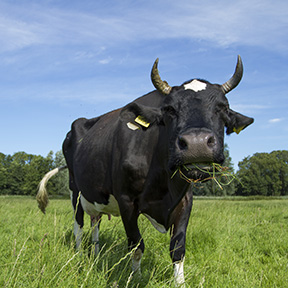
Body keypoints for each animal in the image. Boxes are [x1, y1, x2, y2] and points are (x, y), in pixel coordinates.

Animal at [37, 56, 253, 286]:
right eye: (169, 109)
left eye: (223, 108)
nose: (197, 144)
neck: (163, 182)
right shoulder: (126, 201)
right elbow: (136, 245)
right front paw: (136, 278)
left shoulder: (184, 199)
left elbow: (178, 248)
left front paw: (180, 283)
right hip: (75, 191)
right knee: (78, 226)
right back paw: (79, 258)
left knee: (95, 224)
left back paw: (95, 256)